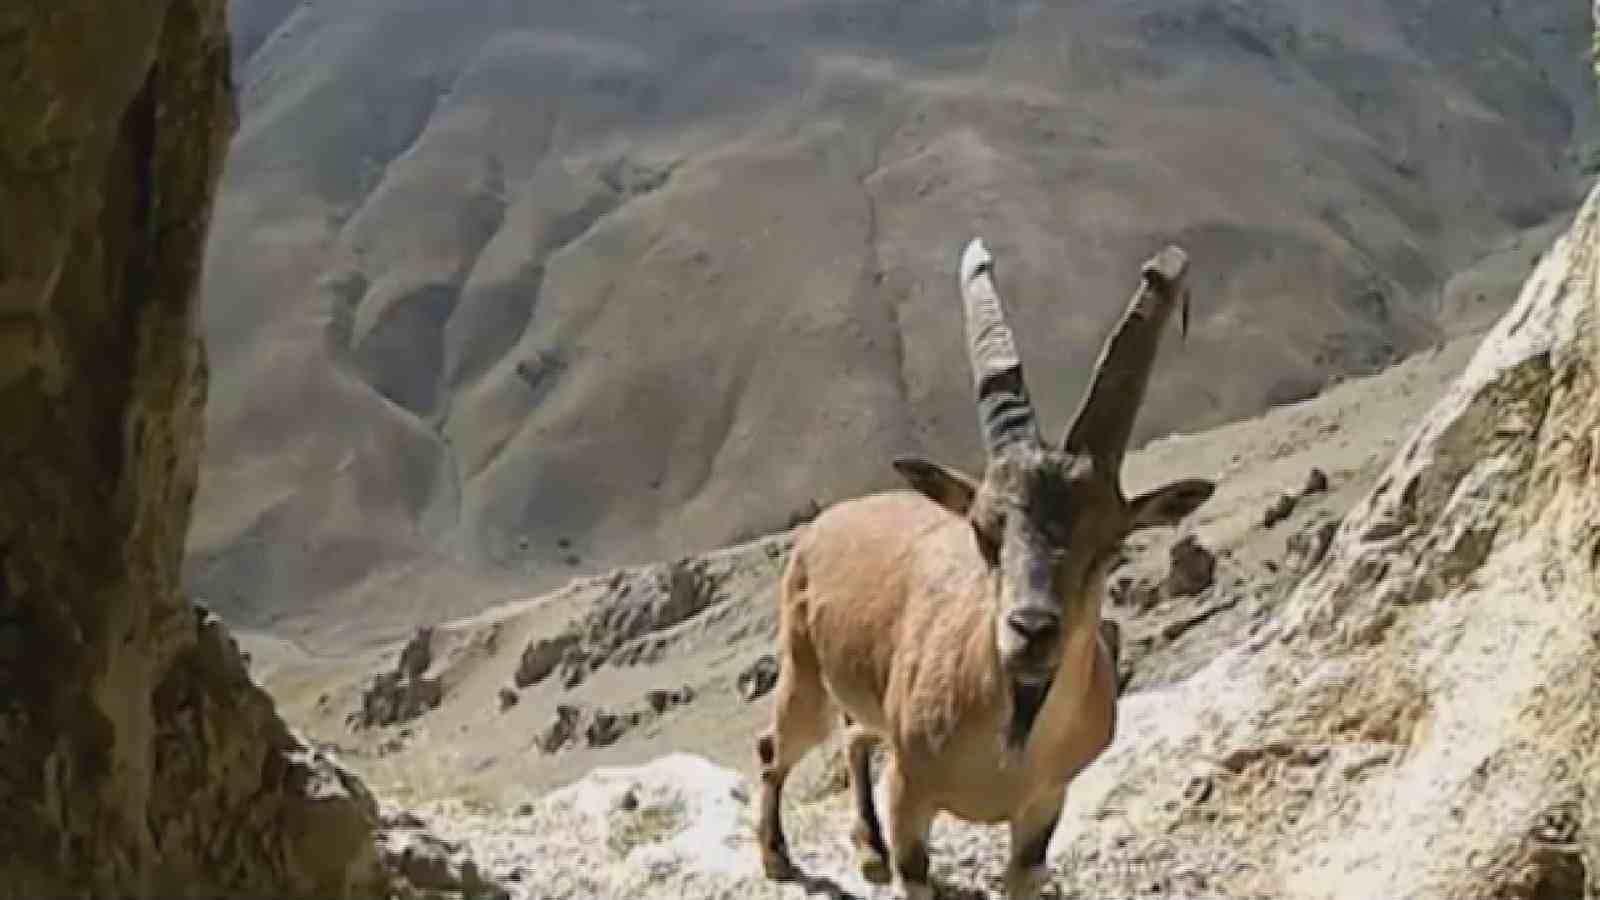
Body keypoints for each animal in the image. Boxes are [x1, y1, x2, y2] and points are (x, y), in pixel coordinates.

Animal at [752, 235, 1209, 890]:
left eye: (1111, 546)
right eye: (983, 532)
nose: (1031, 631)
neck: (1008, 745)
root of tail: (826, 522)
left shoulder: (1044, 805)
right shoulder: (911, 788)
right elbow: (914, 867)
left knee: (855, 736)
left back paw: (868, 849)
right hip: (804, 670)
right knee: (776, 746)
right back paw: (777, 855)